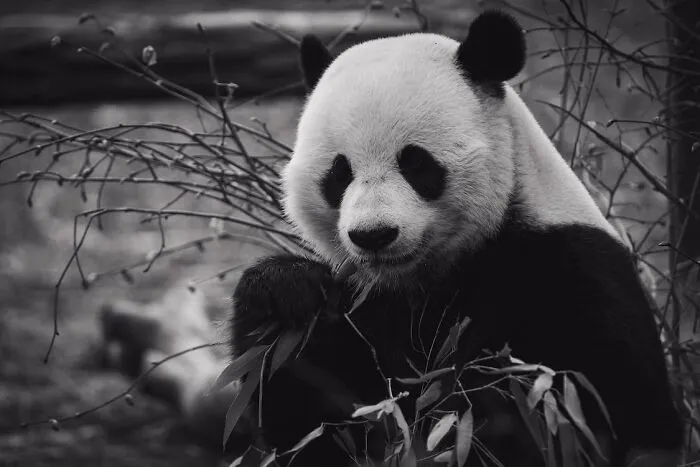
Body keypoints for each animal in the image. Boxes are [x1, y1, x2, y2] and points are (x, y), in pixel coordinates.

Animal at [231, 10, 683, 467]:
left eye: (416, 164)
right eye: (339, 174)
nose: (373, 235)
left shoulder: (572, 274)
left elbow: (587, 415)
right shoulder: (368, 303)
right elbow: (313, 422)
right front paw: (285, 291)